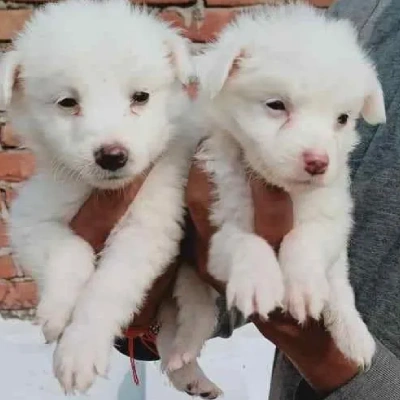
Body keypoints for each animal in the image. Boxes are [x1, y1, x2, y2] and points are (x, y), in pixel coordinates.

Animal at [0, 0, 216, 394]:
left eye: (140, 97)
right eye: (67, 102)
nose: (112, 156)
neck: (103, 191)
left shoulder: (149, 228)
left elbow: (106, 289)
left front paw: (79, 350)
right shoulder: (31, 218)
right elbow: (70, 250)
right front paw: (57, 311)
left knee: (195, 313)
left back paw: (190, 365)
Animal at [170, 2, 386, 378]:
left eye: (342, 119)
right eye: (276, 105)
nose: (318, 162)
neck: (280, 188)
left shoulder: (332, 217)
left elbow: (306, 239)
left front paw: (303, 285)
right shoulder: (215, 225)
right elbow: (246, 240)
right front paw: (259, 279)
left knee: (341, 289)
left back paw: (354, 336)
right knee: (195, 304)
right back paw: (184, 349)